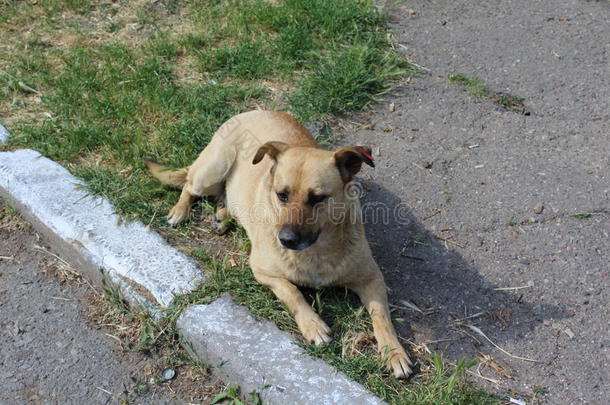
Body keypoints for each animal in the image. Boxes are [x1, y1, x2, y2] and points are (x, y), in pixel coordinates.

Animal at [147, 109, 410, 378]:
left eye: (318, 198)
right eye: (281, 195)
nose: (286, 240)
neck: (317, 252)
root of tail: (253, 110)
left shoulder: (372, 278)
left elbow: (382, 317)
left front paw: (394, 352)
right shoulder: (263, 272)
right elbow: (292, 292)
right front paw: (313, 325)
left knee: (224, 198)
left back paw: (222, 215)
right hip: (211, 172)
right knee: (189, 186)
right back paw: (180, 210)